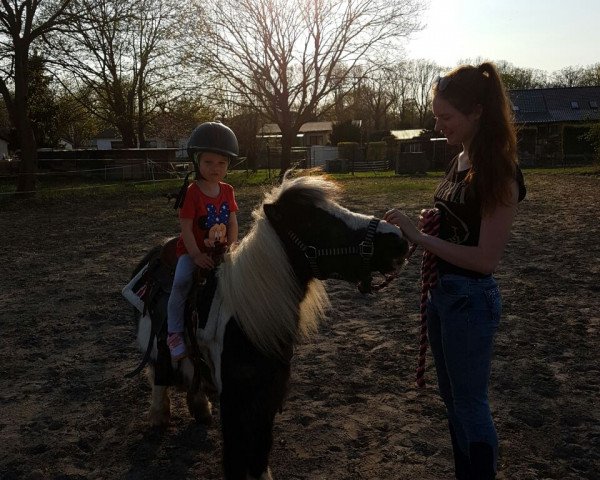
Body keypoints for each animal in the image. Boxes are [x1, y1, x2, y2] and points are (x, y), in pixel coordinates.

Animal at [126, 174, 408, 480]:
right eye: (318, 223)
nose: (398, 238)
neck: (246, 321)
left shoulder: (269, 395)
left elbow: (261, 447)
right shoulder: (233, 400)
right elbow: (235, 455)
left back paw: (200, 408)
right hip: (160, 347)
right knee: (159, 374)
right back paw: (158, 417)